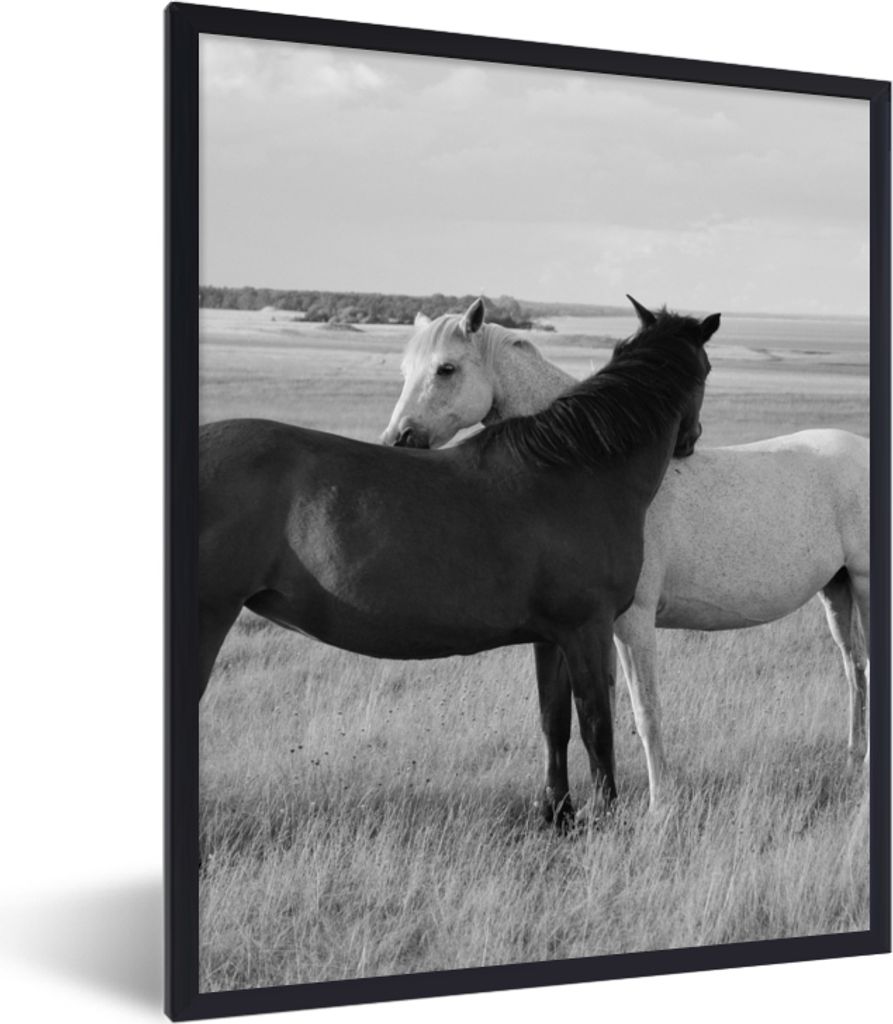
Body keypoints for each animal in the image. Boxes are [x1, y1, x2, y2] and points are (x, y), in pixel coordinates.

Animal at [199, 296, 716, 825]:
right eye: (708, 369)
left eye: (444, 369)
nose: (690, 439)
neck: (578, 468)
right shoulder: (588, 629)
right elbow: (597, 725)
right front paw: (605, 817)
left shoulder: (552, 636)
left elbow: (554, 722)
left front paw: (558, 814)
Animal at [381, 298, 870, 809]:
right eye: (405, 370)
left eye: (446, 368)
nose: (398, 438)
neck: (591, 463)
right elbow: (591, 713)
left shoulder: (631, 623)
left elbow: (643, 711)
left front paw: (659, 805)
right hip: (836, 591)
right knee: (853, 667)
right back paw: (852, 759)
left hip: (866, 584)